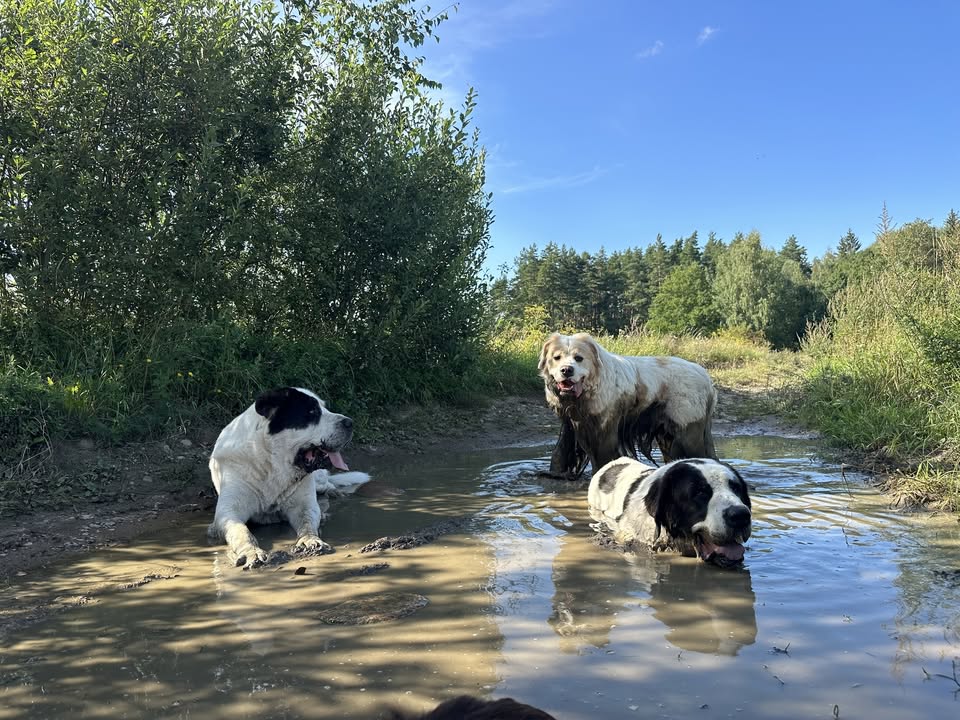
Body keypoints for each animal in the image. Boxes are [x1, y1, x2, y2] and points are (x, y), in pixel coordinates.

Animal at [208, 388, 370, 568]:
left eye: (325, 408)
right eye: (312, 412)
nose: (350, 422)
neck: (272, 464)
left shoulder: (304, 504)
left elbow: (307, 522)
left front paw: (311, 540)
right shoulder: (228, 513)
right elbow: (241, 531)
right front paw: (252, 552)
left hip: (319, 480)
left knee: (327, 484)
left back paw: (333, 493)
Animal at [536, 334, 716, 478]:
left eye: (579, 358)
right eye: (557, 357)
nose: (567, 370)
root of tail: (705, 376)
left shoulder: (605, 427)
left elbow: (604, 456)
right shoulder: (570, 423)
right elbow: (561, 450)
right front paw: (556, 473)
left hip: (687, 428)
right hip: (667, 434)